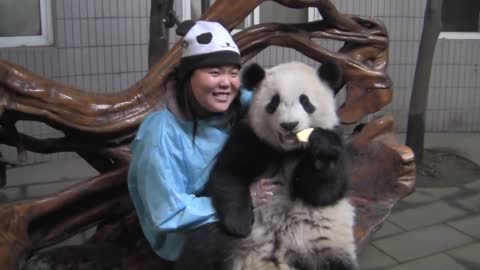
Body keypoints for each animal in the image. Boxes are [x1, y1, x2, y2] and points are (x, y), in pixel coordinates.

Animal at [175, 61, 356, 270]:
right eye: (274, 102)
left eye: (305, 101)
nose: (289, 125)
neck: (286, 150)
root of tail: (271, 258)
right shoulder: (251, 138)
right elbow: (228, 174)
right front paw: (240, 223)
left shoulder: (337, 140)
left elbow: (323, 193)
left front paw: (320, 149)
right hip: (222, 239)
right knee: (201, 249)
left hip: (325, 244)